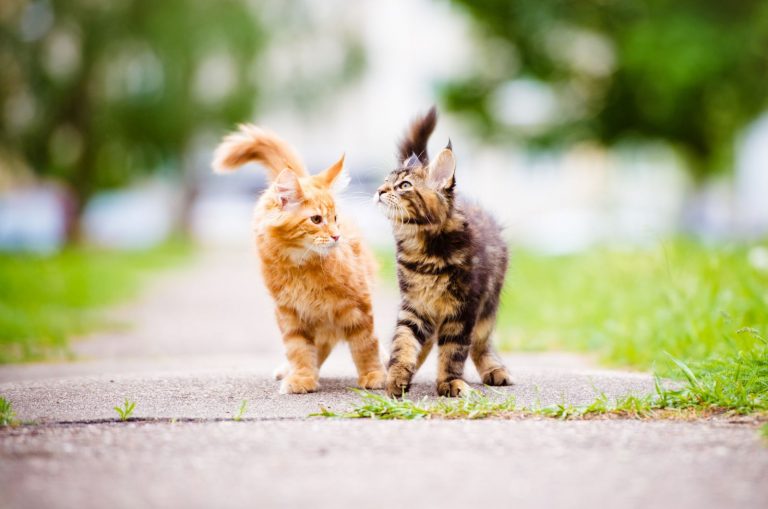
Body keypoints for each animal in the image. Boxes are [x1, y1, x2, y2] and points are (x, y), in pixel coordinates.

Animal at [213, 125, 384, 394]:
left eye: (336, 218)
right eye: (316, 219)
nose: (337, 236)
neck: (303, 266)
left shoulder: (357, 304)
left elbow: (365, 344)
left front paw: (374, 375)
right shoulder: (290, 312)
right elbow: (299, 348)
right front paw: (302, 377)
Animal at [376, 107, 512, 396]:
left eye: (404, 186)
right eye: (385, 182)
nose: (379, 191)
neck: (424, 252)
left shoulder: (463, 309)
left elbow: (453, 350)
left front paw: (449, 383)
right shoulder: (414, 306)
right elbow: (404, 341)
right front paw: (397, 376)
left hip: (488, 307)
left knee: (480, 343)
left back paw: (495, 369)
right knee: (427, 341)